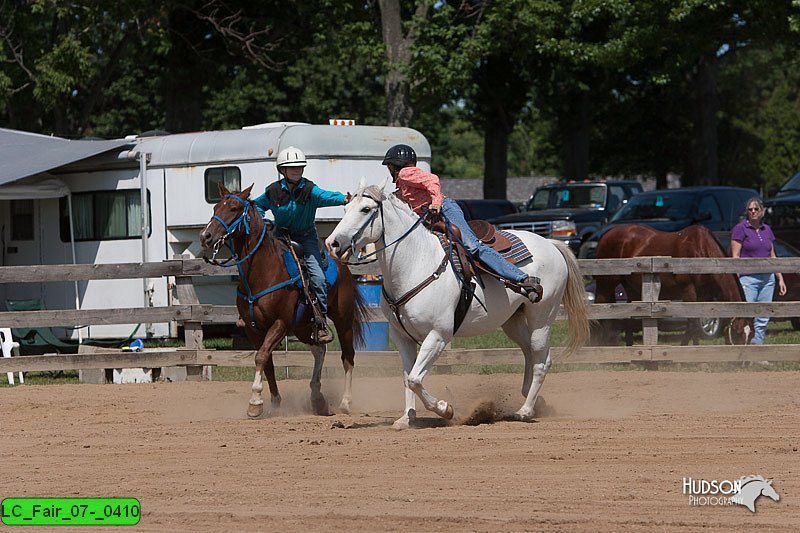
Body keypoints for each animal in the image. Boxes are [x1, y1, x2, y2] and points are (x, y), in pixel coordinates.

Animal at [198, 185, 368, 418]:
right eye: (216, 207)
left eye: (233, 208)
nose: (205, 236)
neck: (261, 273)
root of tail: (341, 265)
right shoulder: (253, 328)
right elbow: (266, 361)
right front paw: (273, 402)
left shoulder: (280, 323)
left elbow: (261, 356)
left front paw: (255, 401)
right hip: (303, 326)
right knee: (319, 350)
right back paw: (317, 397)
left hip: (342, 319)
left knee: (347, 356)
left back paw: (345, 402)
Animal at [322, 181, 592, 430]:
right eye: (345, 208)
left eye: (366, 209)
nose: (332, 243)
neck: (415, 263)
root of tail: (551, 244)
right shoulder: (402, 336)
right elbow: (408, 377)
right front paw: (406, 418)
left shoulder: (438, 335)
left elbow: (416, 379)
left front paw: (446, 409)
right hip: (512, 320)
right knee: (530, 353)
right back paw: (530, 399)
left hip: (542, 317)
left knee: (541, 361)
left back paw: (524, 411)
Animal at [592, 221, 756, 342]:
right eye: (738, 334)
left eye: (751, 336)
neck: (701, 251)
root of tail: (606, 235)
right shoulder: (688, 291)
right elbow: (693, 325)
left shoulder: (703, 296)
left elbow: (691, 327)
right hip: (606, 284)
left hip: (631, 288)